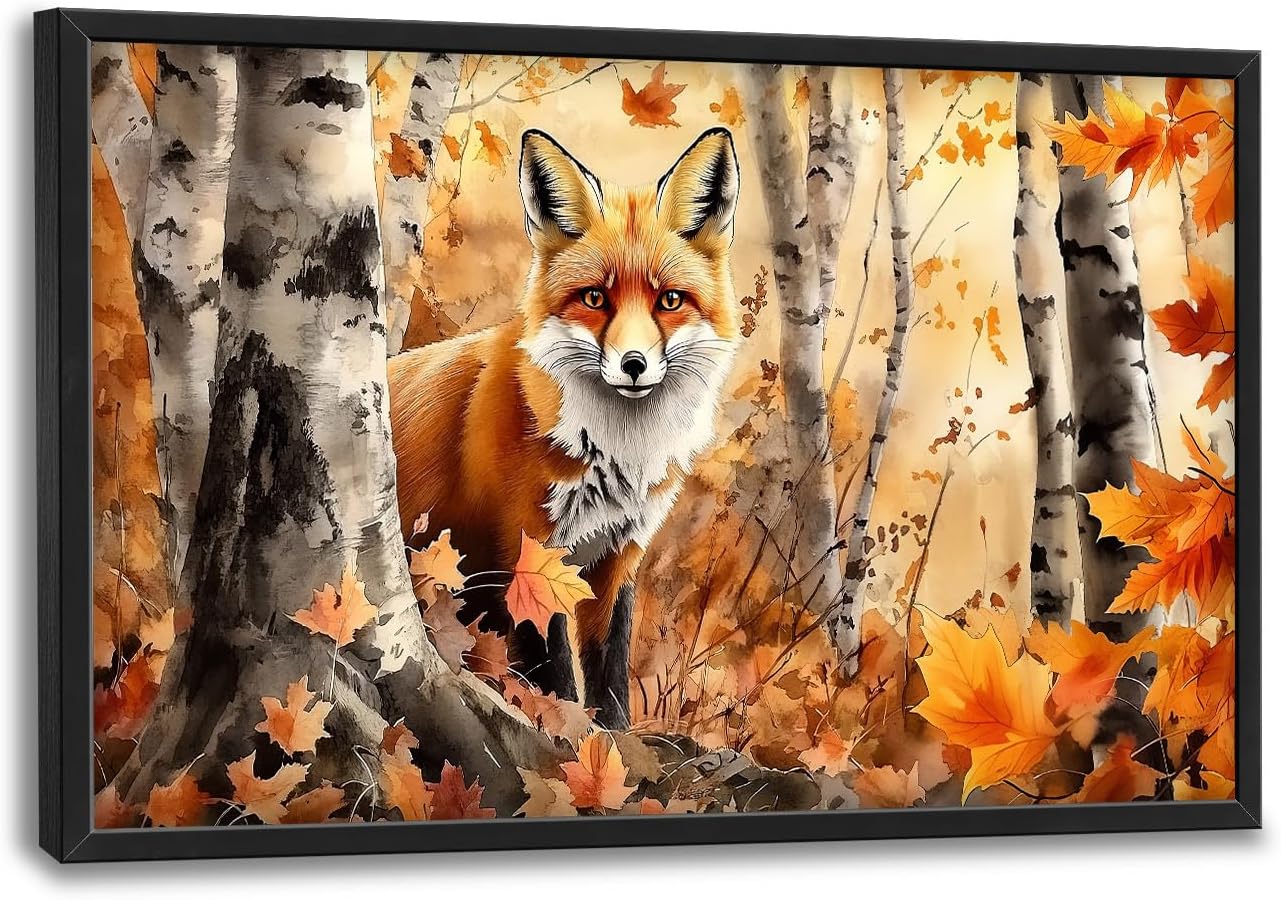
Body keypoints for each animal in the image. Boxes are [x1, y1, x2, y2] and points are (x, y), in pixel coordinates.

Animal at [388, 126, 740, 728]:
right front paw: (567, 735)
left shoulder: (618, 556)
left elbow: (610, 670)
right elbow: (552, 672)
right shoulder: (525, 552)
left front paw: (615, 742)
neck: (616, 455)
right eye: (595, 298)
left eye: (669, 300)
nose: (633, 364)